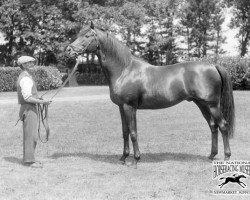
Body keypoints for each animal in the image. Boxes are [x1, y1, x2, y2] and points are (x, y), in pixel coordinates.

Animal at [66, 22, 234, 167]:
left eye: (88, 35)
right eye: (79, 34)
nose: (69, 50)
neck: (124, 70)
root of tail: (213, 65)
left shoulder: (129, 106)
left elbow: (133, 132)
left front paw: (135, 160)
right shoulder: (121, 107)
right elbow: (125, 132)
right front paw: (123, 158)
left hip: (212, 105)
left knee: (223, 126)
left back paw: (226, 157)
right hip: (202, 104)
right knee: (213, 126)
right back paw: (211, 155)